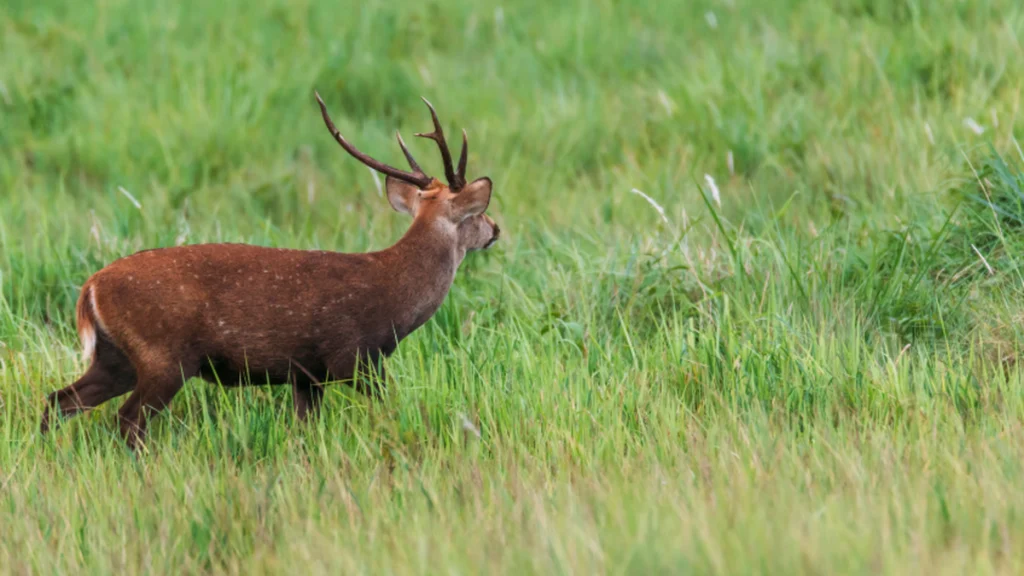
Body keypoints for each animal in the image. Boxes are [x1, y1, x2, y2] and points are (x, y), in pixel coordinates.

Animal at [39, 92, 500, 448]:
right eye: (478, 214)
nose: (495, 229)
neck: (394, 297)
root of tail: (90, 289)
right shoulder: (354, 356)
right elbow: (389, 408)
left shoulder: (307, 374)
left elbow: (305, 430)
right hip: (162, 354)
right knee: (127, 420)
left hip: (116, 355)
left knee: (59, 401)